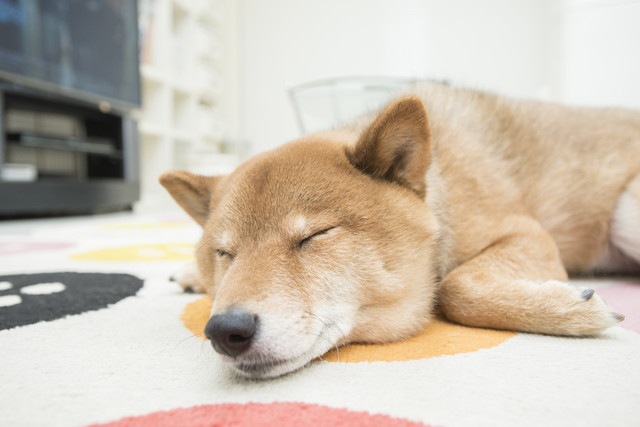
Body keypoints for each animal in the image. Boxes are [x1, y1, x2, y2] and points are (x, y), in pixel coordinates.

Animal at [160, 82, 640, 380]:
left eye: (316, 235)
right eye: (225, 253)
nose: (225, 329)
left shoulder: (527, 233)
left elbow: (454, 289)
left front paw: (573, 310)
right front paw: (191, 274)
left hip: (625, 213)